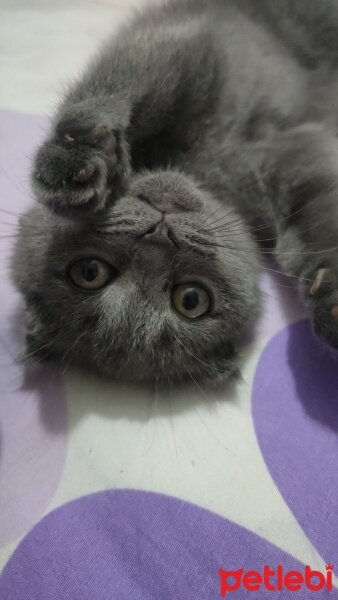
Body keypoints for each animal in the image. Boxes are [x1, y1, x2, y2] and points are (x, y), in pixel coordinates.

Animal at [9, 0, 338, 384]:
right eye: (191, 300)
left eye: (89, 272)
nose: (159, 235)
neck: (200, 167)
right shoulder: (291, 157)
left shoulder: (193, 39)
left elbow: (128, 77)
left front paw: (72, 159)